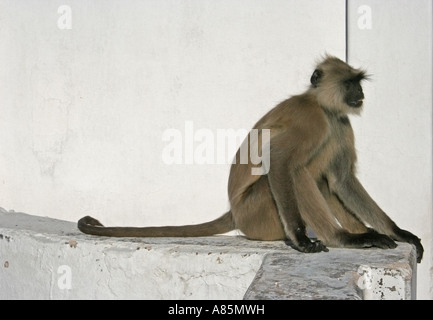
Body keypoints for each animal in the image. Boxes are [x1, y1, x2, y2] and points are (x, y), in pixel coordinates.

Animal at [77, 56, 422, 264]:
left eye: (358, 82)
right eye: (350, 82)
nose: (359, 93)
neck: (323, 107)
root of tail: (234, 212)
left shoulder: (339, 122)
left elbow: (342, 179)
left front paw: (398, 232)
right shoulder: (311, 120)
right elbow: (279, 161)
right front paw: (303, 239)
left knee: (322, 179)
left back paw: (365, 233)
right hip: (256, 212)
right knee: (297, 172)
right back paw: (342, 237)